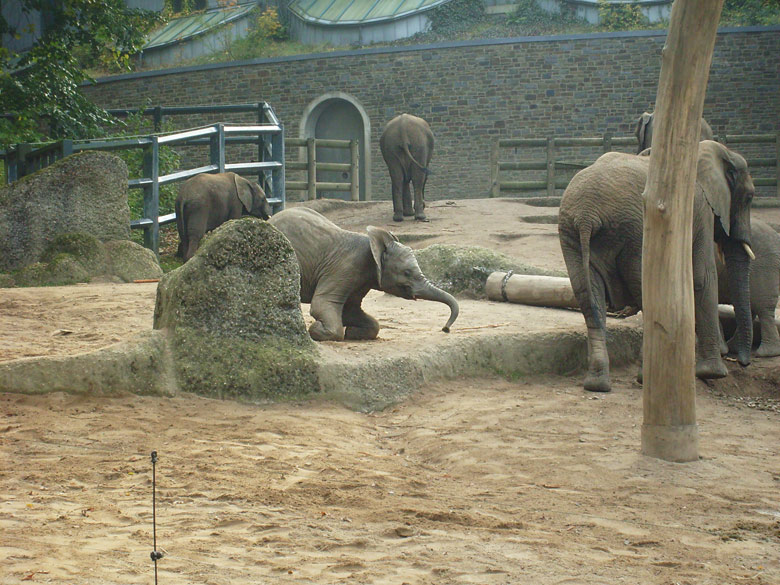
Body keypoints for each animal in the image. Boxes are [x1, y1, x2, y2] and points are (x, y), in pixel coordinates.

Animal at [268, 206, 458, 340]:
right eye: (407, 272)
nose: (445, 329)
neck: (374, 246)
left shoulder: (360, 279)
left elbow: (352, 312)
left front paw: (351, 333)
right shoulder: (344, 268)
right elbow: (322, 304)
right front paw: (314, 330)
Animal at [560, 139, 756, 390]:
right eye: (749, 197)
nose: (741, 362)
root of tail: (587, 215)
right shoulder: (700, 208)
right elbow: (702, 276)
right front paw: (713, 373)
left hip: (572, 235)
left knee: (588, 296)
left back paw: (597, 384)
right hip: (634, 233)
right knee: (644, 293)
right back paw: (647, 378)